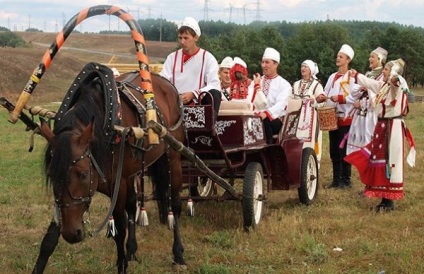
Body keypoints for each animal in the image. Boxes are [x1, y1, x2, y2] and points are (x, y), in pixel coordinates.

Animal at [32, 63, 185, 272]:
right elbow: (50, 238)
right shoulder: (66, 201)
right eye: (51, 175)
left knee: (174, 205)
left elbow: (119, 231)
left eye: (83, 174)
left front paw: (122, 265)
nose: (72, 234)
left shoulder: (117, 186)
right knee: (133, 204)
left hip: (172, 158)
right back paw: (132, 250)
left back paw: (178, 254)